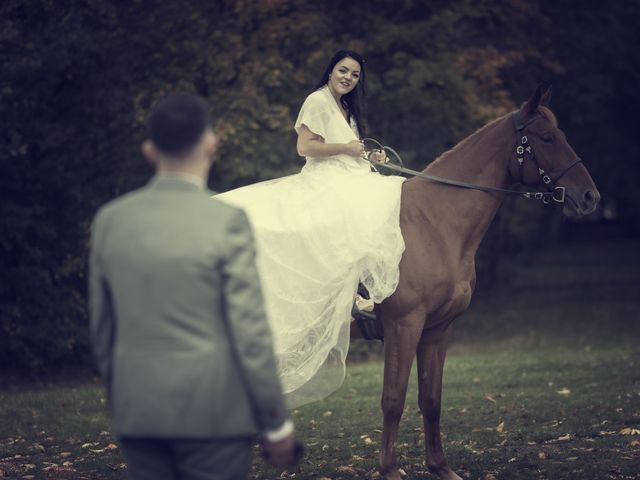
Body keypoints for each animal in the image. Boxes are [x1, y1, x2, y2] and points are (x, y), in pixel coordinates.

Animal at [362, 87, 604, 480]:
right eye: (547, 138)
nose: (589, 197)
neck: (433, 224)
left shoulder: (436, 330)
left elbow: (431, 399)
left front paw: (440, 467)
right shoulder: (403, 326)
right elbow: (393, 399)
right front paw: (389, 470)